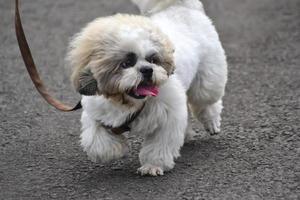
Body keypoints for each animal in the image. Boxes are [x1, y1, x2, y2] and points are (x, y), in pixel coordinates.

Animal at [66, 0, 227, 175]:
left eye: (153, 60)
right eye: (126, 63)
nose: (147, 70)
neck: (128, 102)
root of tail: (180, 6)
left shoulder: (168, 115)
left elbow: (159, 145)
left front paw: (153, 166)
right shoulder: (97, 111)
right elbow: (96, 141)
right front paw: (115, 150)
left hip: (207, 78)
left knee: (206, 100)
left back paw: (211, 121)